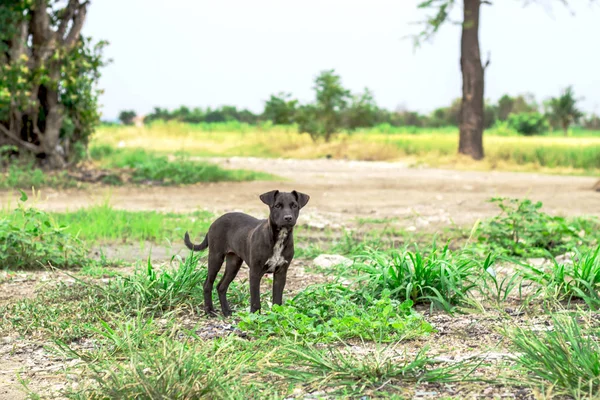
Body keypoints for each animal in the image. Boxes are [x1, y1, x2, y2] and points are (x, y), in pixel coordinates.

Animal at [184, 189, 310, 318]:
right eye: (277, 206)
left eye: (294, 205)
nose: (288, 218)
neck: (279, 238)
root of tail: (215, 221)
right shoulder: (255, 272)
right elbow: (255, 300)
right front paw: (255, 317)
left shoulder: (281, 272)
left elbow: (277, 300)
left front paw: (276, 316)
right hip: (215, 257)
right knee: (207, 285)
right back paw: (209, 311)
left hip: (234, 263)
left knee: (221, 286)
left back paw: (226, 311)